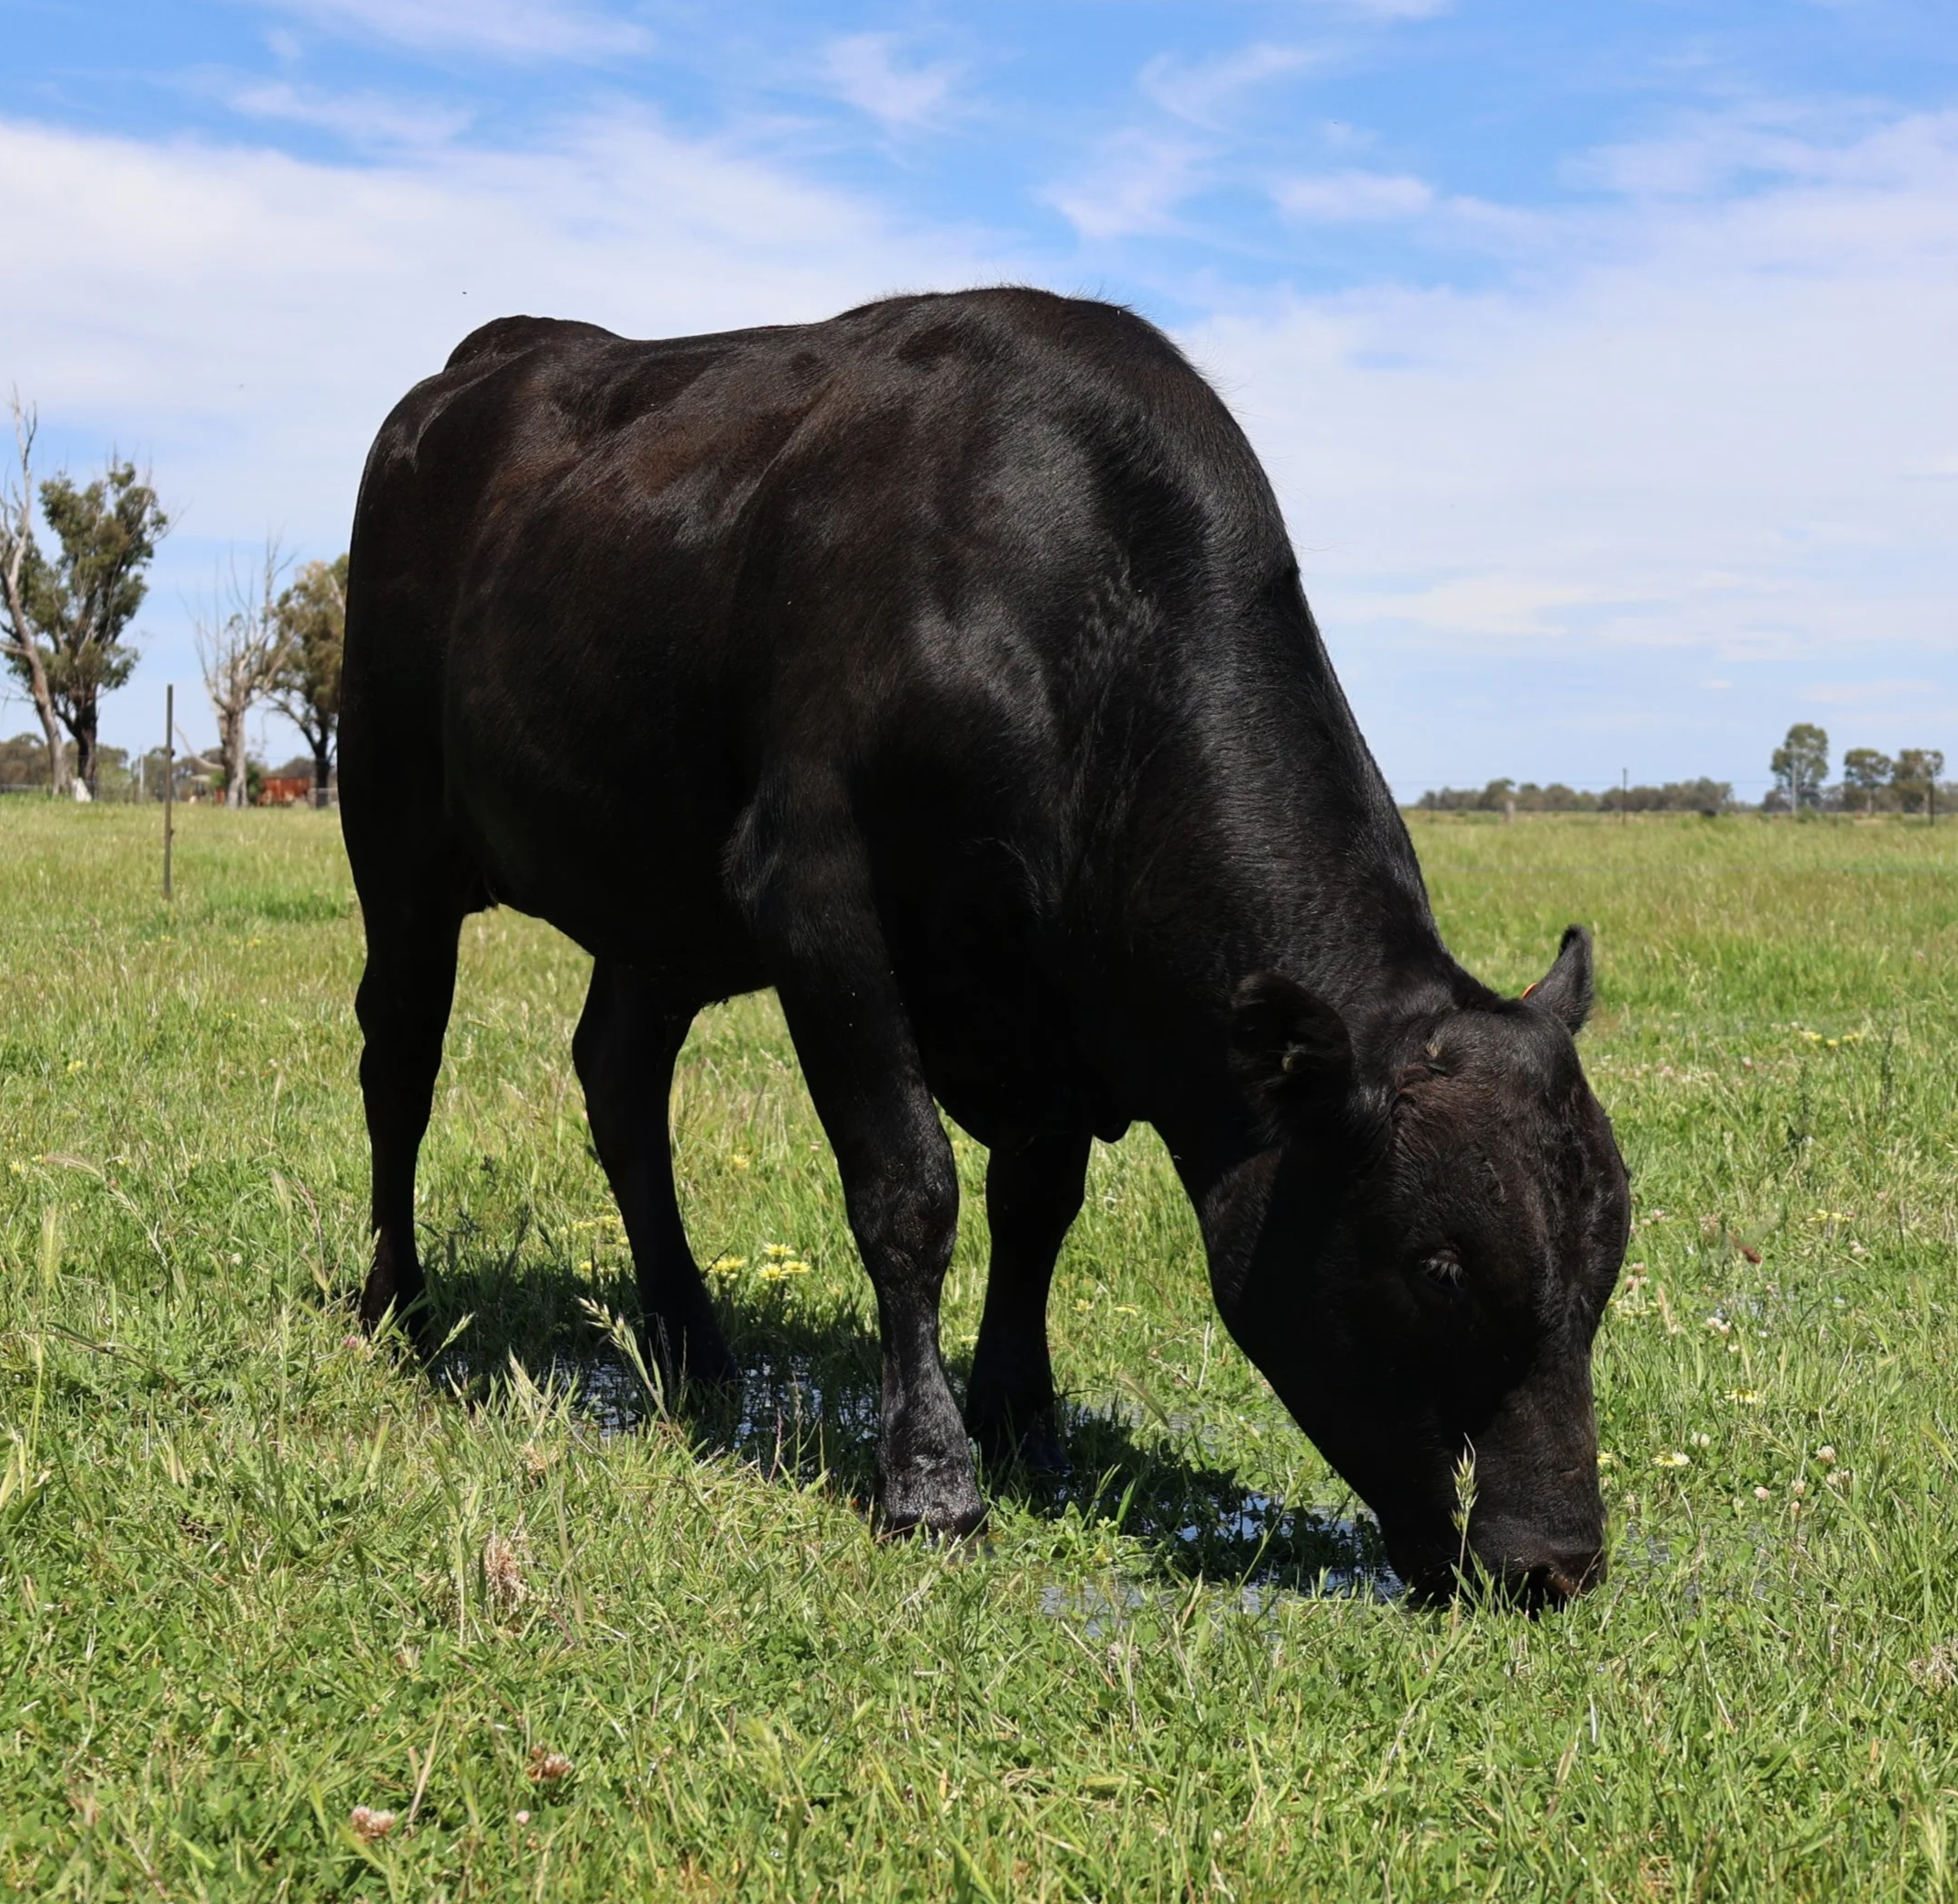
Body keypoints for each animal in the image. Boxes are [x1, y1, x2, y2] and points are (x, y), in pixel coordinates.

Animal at [340, 287, 1630, 1605]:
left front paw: (1023, 1421)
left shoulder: (1045, 997)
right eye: (1436, 1265)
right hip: (392, 815)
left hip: (657, 898)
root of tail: (496, 350)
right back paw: (396, 1304)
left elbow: (1035, 1205)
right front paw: (932, 1479)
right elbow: (910, 1189)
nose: (1555, 1558)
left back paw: (692, 1341)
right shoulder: (814, 891)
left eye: (1607, 1262)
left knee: (618, 1074)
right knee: (401, 1058)